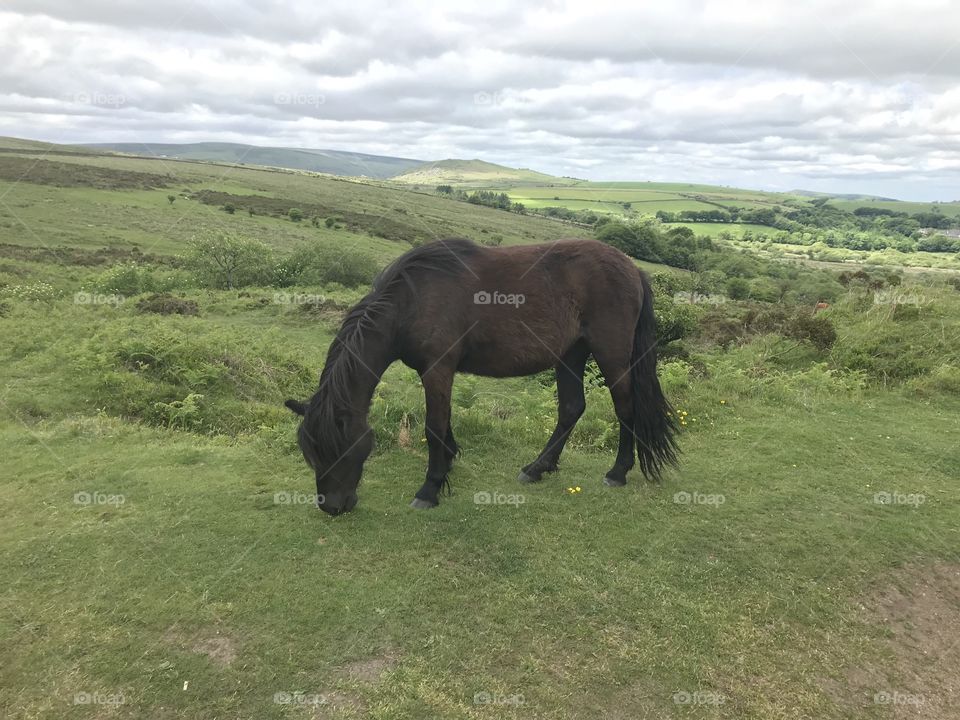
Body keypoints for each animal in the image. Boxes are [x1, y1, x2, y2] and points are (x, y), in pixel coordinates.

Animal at [288, 239, 680, 516]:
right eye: (311, 451)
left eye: (340, 448)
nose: (332, 507)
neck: (413, 299)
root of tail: (633, 269)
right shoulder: (438, 372)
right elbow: (444, 422)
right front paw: (448, 462)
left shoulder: (437, 368)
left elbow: (433, 426)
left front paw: (429, 490)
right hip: (571, 354)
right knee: (571, 409)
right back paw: (538, 468)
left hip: (611, 356)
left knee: (625, 409)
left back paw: (617, 472)